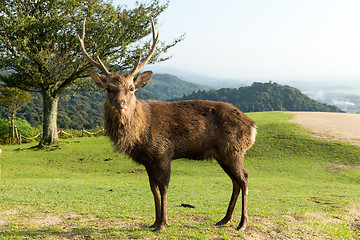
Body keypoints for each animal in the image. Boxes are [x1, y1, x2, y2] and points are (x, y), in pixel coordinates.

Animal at [78, 17, 256, 232]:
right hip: (222, 153)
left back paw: (242, 224)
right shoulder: (148, 160)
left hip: (233, 149)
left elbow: (163, 188)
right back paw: (224, 219)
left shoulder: (163, 153)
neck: (142, 134)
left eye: (131, 88)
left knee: (244, 178)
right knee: (235, 181)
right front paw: (154, 221)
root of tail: (253, 126)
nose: (120, 103)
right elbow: (153, 189)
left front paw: (163, 223)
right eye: (108, 88)